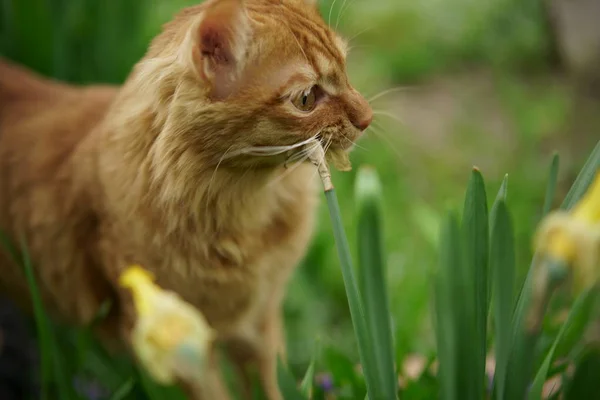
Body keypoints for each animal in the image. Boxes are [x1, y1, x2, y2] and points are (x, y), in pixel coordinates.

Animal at [0, 0, 372, 398]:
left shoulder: (259, 321)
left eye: (345, 69)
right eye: (306, 99)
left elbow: (272, 386)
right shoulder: (180, 347)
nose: (367, 117)